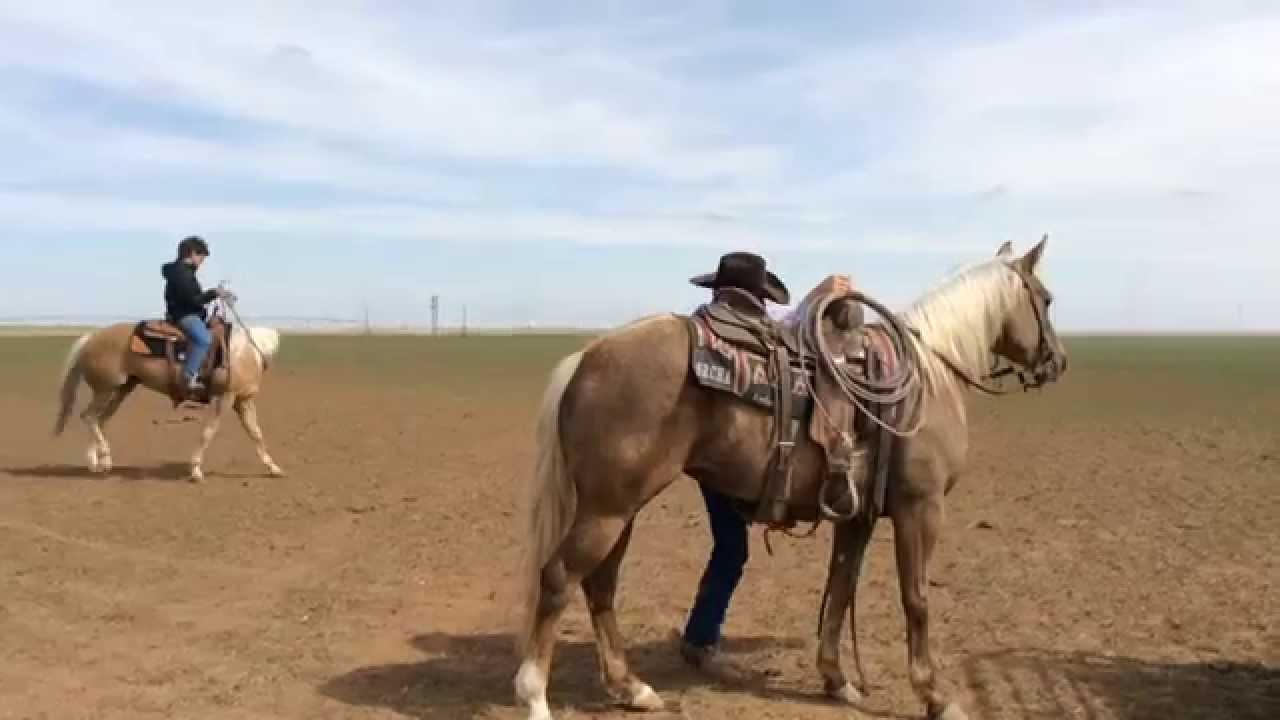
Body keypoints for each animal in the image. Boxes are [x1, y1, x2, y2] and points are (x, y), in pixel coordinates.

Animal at [51, 306, 285, 483]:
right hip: (105, 389)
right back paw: (103, 460)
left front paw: (273, 468)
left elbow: (255, 433)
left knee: (99, 420)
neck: (246, 350)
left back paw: (97, 463)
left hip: (120, 390)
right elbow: (209, 432)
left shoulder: (243, 401)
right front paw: (196, 470)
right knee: (89, 417)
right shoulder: (225, 398)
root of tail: (91, 337)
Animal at [514, 237, 1067, 720]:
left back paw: (632, 688)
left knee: (601, 584)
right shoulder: (920, 508)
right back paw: (536, 695)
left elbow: (840, 589)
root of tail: (587, 357)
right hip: (607, 508)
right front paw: (935, 696)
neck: (929, 376)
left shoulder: (857, 516)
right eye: (1046, 299)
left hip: (620, 509)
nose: (1057, 361)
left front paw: (838, 681)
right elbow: (917, 600)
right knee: (559, 578)